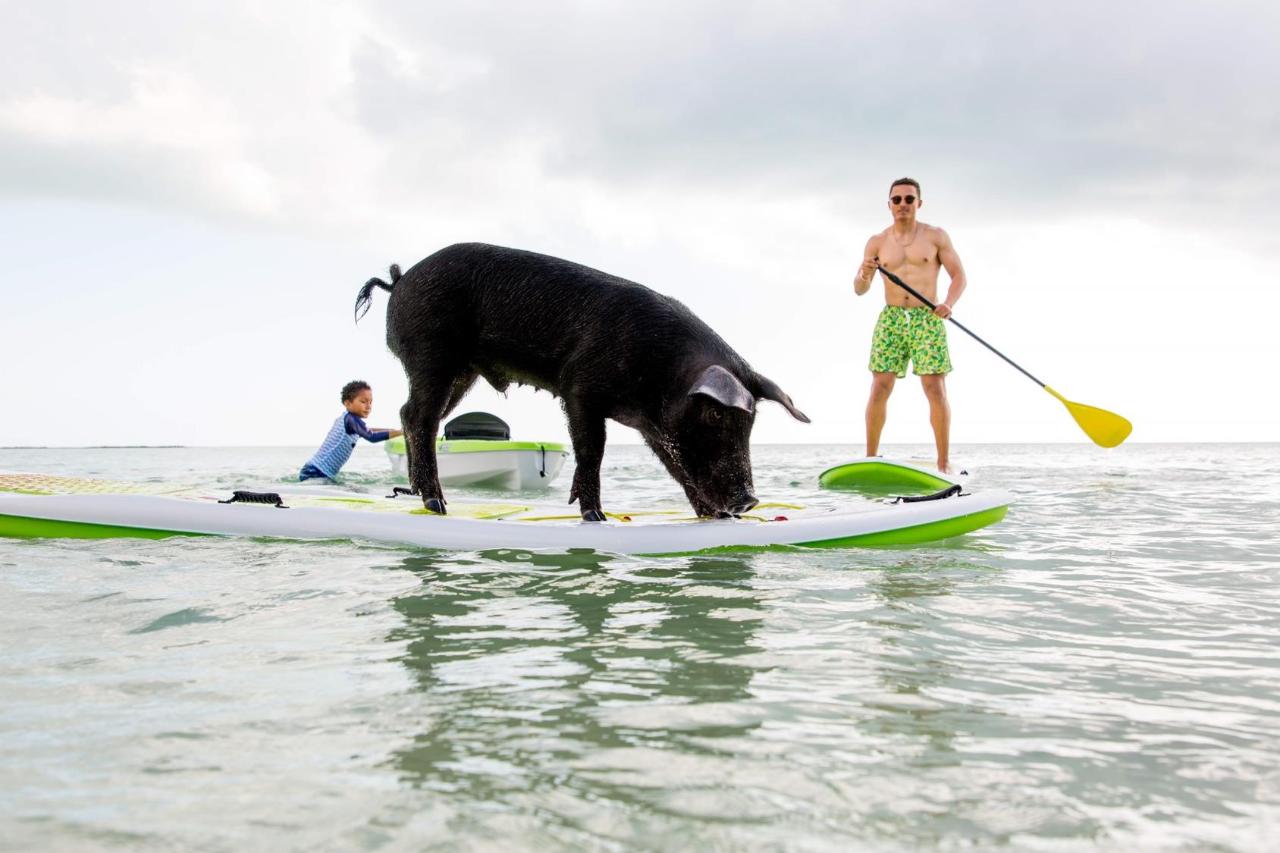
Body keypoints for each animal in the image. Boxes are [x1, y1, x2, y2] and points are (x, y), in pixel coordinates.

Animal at [353, 239, 808, 517]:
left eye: (751, 422)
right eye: (716, 416)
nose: (749, 501)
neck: (660, 371)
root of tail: (400, 279)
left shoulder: (656, 428)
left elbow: (677, 467)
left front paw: (714, 518)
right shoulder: (580, 389)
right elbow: (592, 450)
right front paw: (595, 515)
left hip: (463, 372)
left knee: (410, 414)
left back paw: (422, 496)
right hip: (432, 354)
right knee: (421, 417)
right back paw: (436, 503)